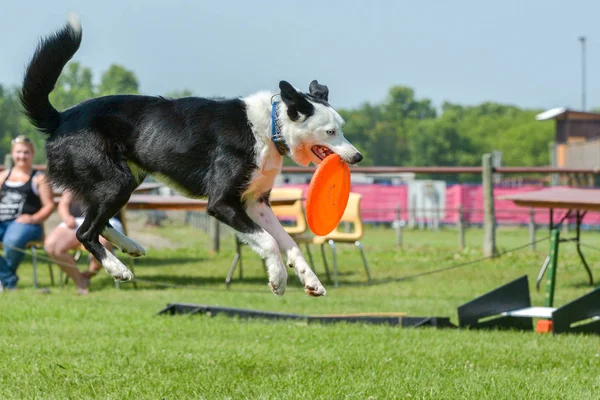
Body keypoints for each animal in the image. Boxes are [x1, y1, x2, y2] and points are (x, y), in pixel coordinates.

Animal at [21, 14, 364, 296]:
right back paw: (118, 268)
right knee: (84, 231)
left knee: (99, 223)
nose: (358, 157)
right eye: (331, 132)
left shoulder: (256, 202)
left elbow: (289, 242)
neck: (270, 127)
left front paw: (310, 280)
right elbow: (268, 241)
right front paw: (278, 279)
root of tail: (61, 118)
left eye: (342, 128)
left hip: (122, 182)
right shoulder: (222, 203)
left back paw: (131, 246)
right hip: (115, 182)